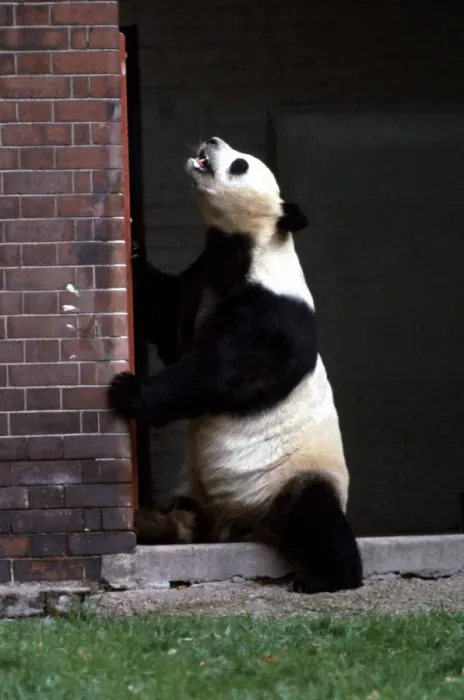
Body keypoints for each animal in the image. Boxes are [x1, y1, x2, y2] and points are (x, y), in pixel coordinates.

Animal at [108, 136, 363, 593]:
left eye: (241, 164)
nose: (211, 141)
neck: (249, 248)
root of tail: (241, 526)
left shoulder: (272, 312)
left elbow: (219, 372)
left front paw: (128, 390)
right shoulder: (201, 281)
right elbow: (167, 318)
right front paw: (132, 248)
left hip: (291, 475)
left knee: (315, 515)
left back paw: (326, 576)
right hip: (199, 491)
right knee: (187, 512)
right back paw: (165, 524)